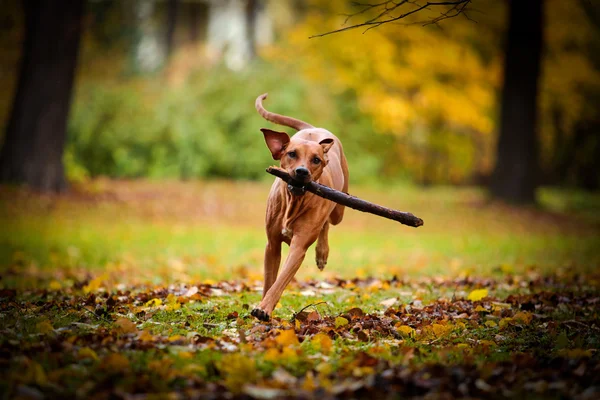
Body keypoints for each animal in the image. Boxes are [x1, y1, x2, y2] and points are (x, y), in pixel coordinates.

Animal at [251, 94, 350, 322]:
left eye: (316, 160)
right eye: (291, 154)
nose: (302, 172)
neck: (294, 201)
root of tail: (313, 128)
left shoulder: (298, 246)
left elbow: (280, 281)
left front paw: (265, 307)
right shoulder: (272, 245)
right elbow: (269, 280)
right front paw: (263, 308)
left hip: (339, 208)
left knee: (327, 222)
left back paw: (322, 253)